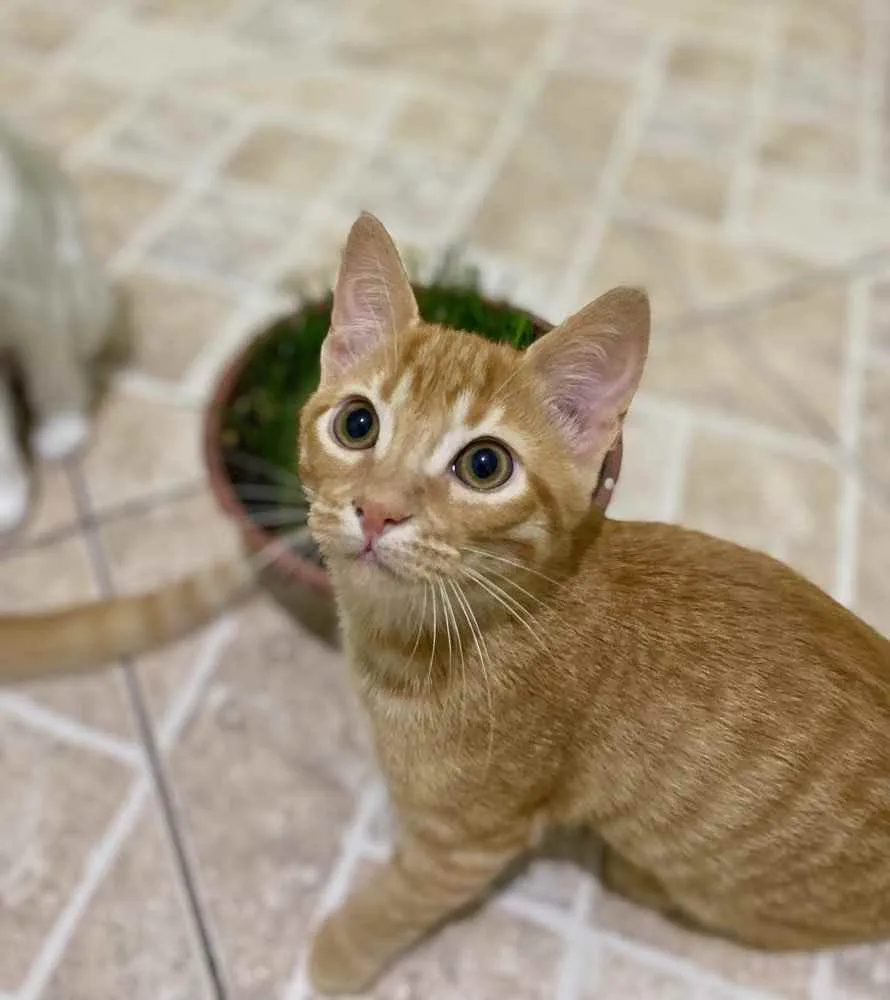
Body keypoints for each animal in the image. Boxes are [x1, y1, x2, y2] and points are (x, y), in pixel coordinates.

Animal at [297, 213, 890, 996]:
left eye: (483, 465)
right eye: (357, 424)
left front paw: (335, 955)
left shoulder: (469, 840)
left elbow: (395, 901)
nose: (377, 510)